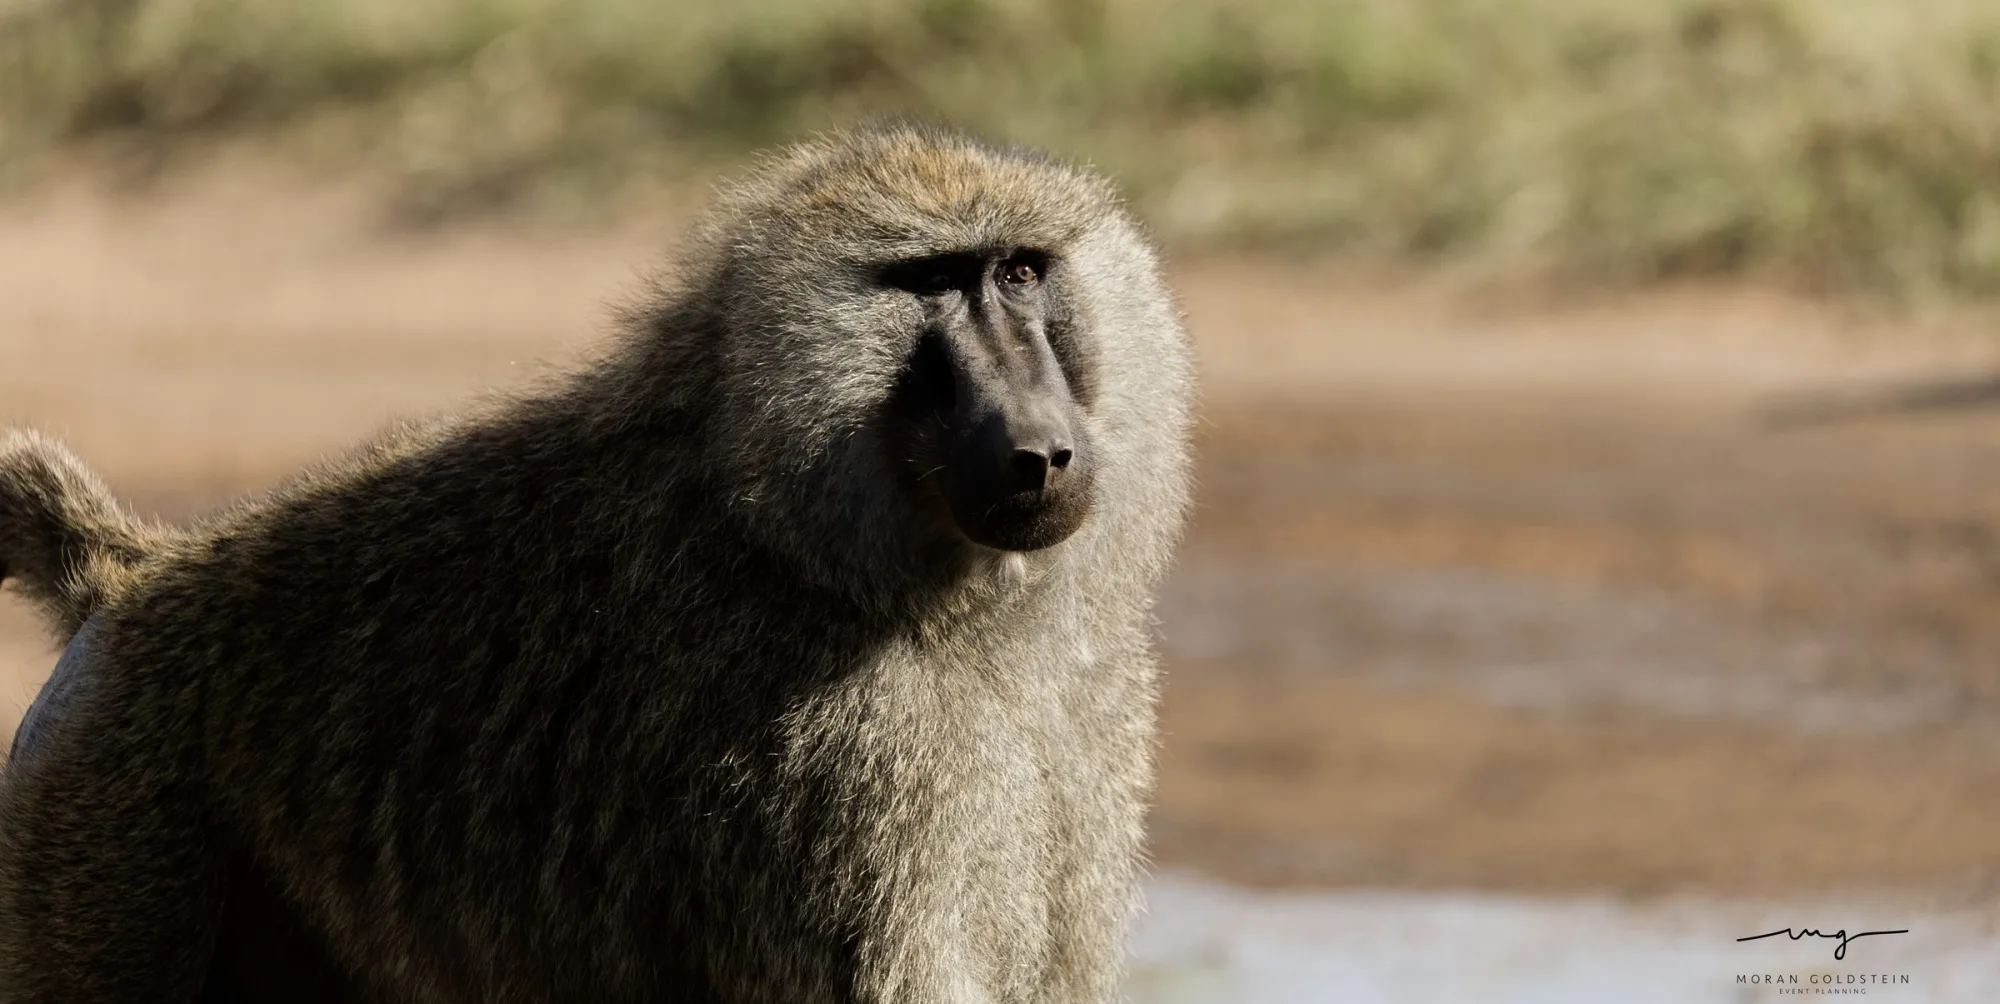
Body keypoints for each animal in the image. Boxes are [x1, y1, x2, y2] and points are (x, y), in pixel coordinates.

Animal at [0, 122, 1195, 1003]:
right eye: (931, 281)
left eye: (1020, 271)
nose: (1040, 449)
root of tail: (135, 581)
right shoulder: (840, 757)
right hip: (109, 803)